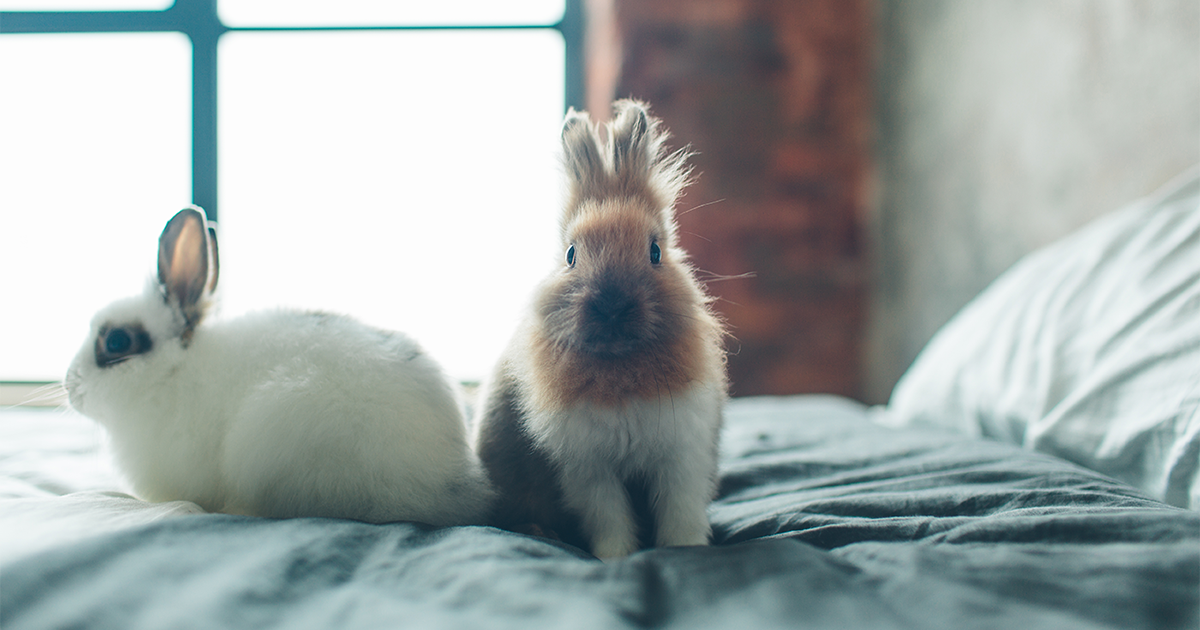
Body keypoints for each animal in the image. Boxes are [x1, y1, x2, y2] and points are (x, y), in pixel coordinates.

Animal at [472, 100, 724, 556]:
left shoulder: (680, 457)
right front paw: (614, 557)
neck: (619, 367)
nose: (612, 306)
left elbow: (679, 511)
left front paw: (686, 550)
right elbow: (609, 519)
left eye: (655, 251)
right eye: (571, 254)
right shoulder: (589, 470)